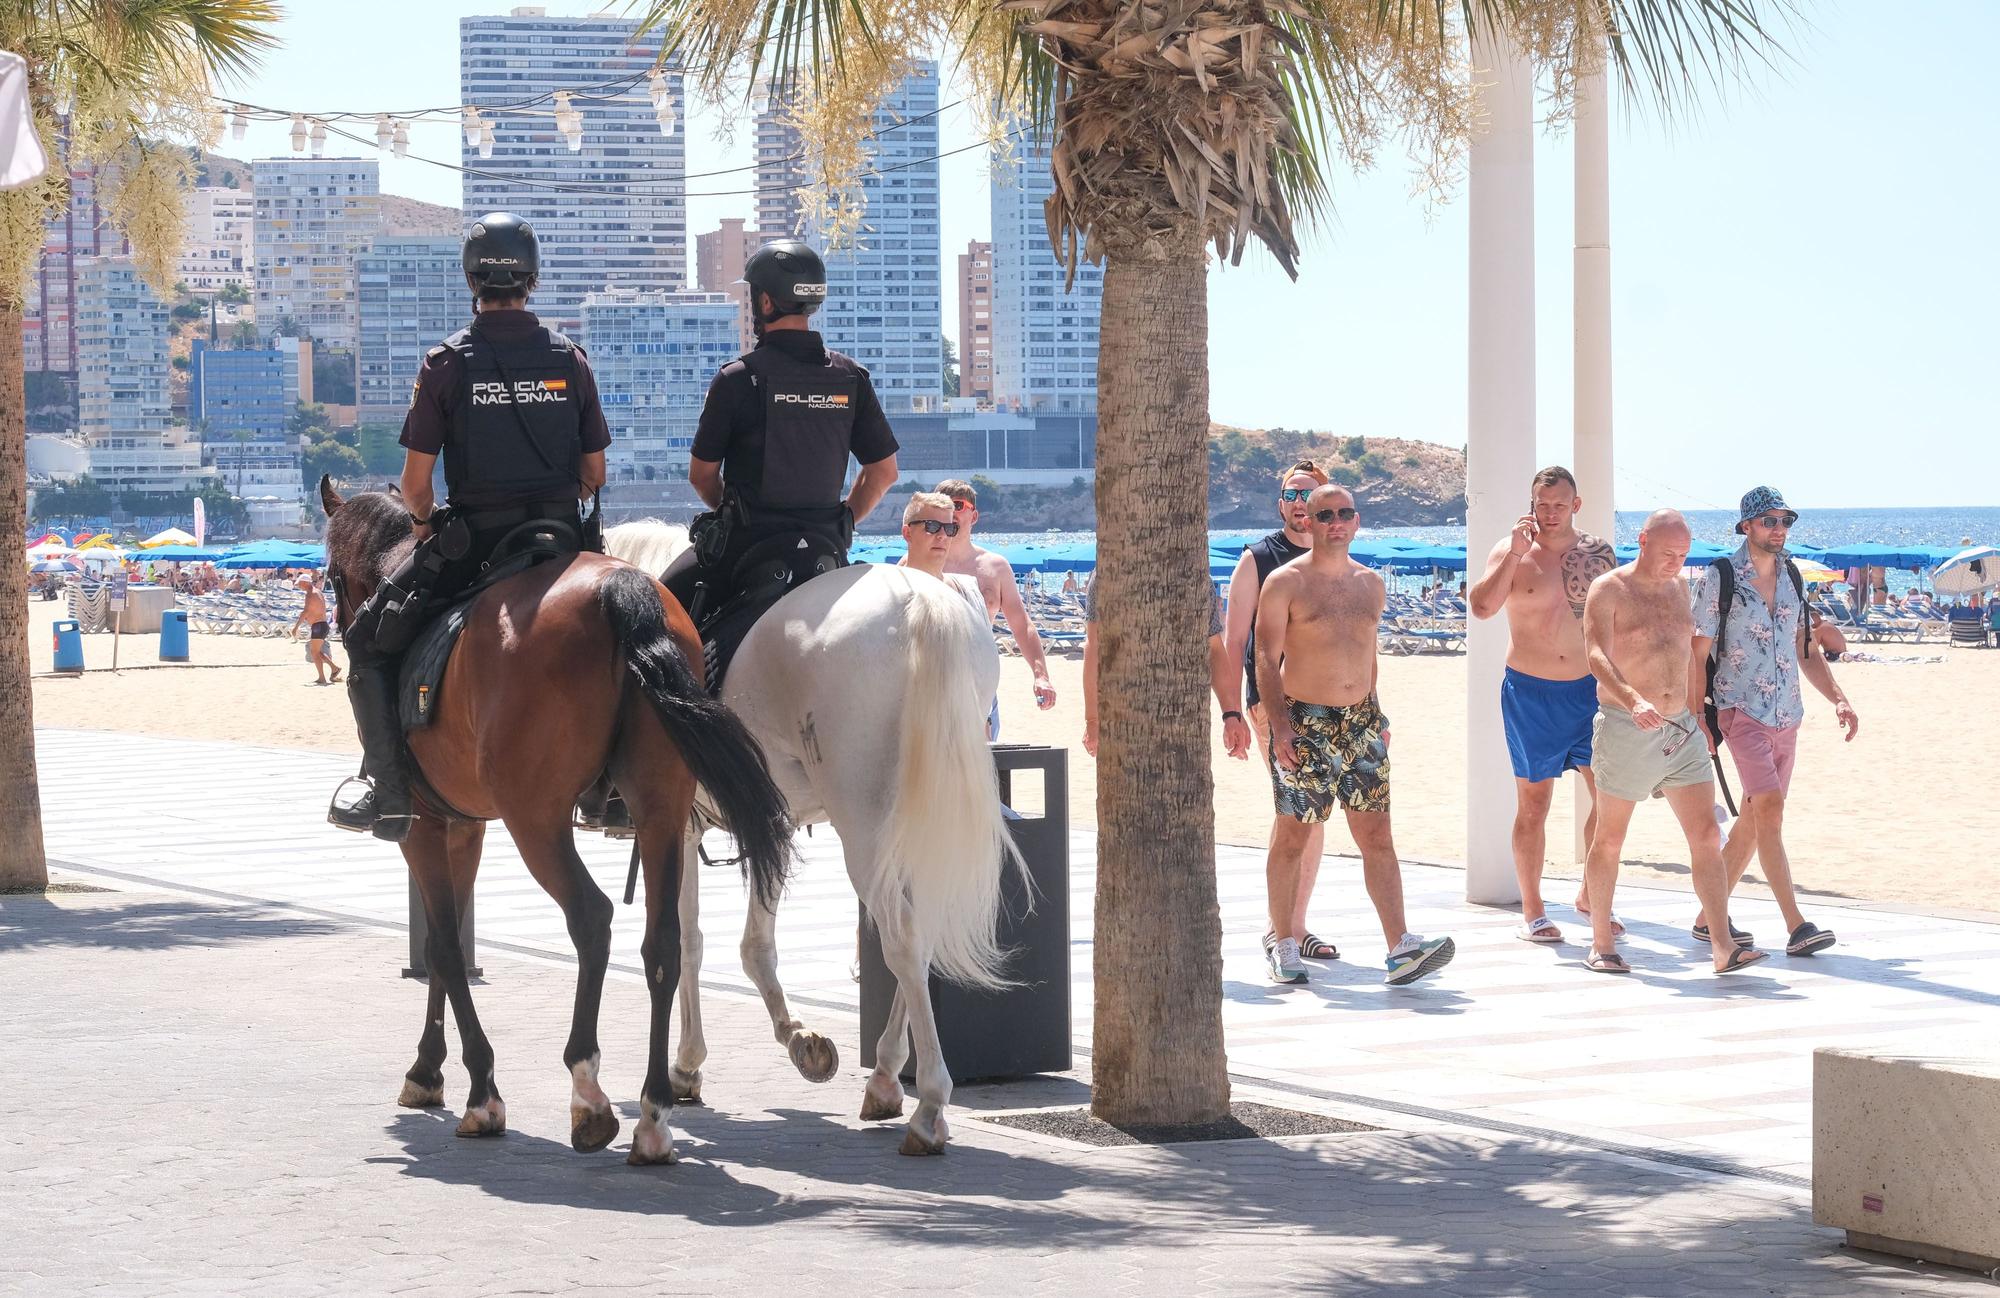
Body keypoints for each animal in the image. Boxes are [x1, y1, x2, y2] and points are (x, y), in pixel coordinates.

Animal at [318, 478, 788, 1168]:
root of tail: (624, 589)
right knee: (663, 943)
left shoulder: (425, 826)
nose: (342, 622)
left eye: (329, 575)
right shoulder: (465, 827)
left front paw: (479, 1091)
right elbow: (441, 943)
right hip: (659, 811)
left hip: (536, 821)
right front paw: (428, 1068)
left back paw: (589, 1094)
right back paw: (653, 1114)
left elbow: (445, 948)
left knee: (592, 918)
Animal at [604, 520, 1016, 1160]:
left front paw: (692, 1063)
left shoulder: (681, 826)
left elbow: (694, 942)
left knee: (902, 938)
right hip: (909, 819)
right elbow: (750, 943)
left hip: (865, 830)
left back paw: (928, 1106)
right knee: (917, 935)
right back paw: (886, 1078)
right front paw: (794, 1037)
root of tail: (918, 602)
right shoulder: (770, 822)